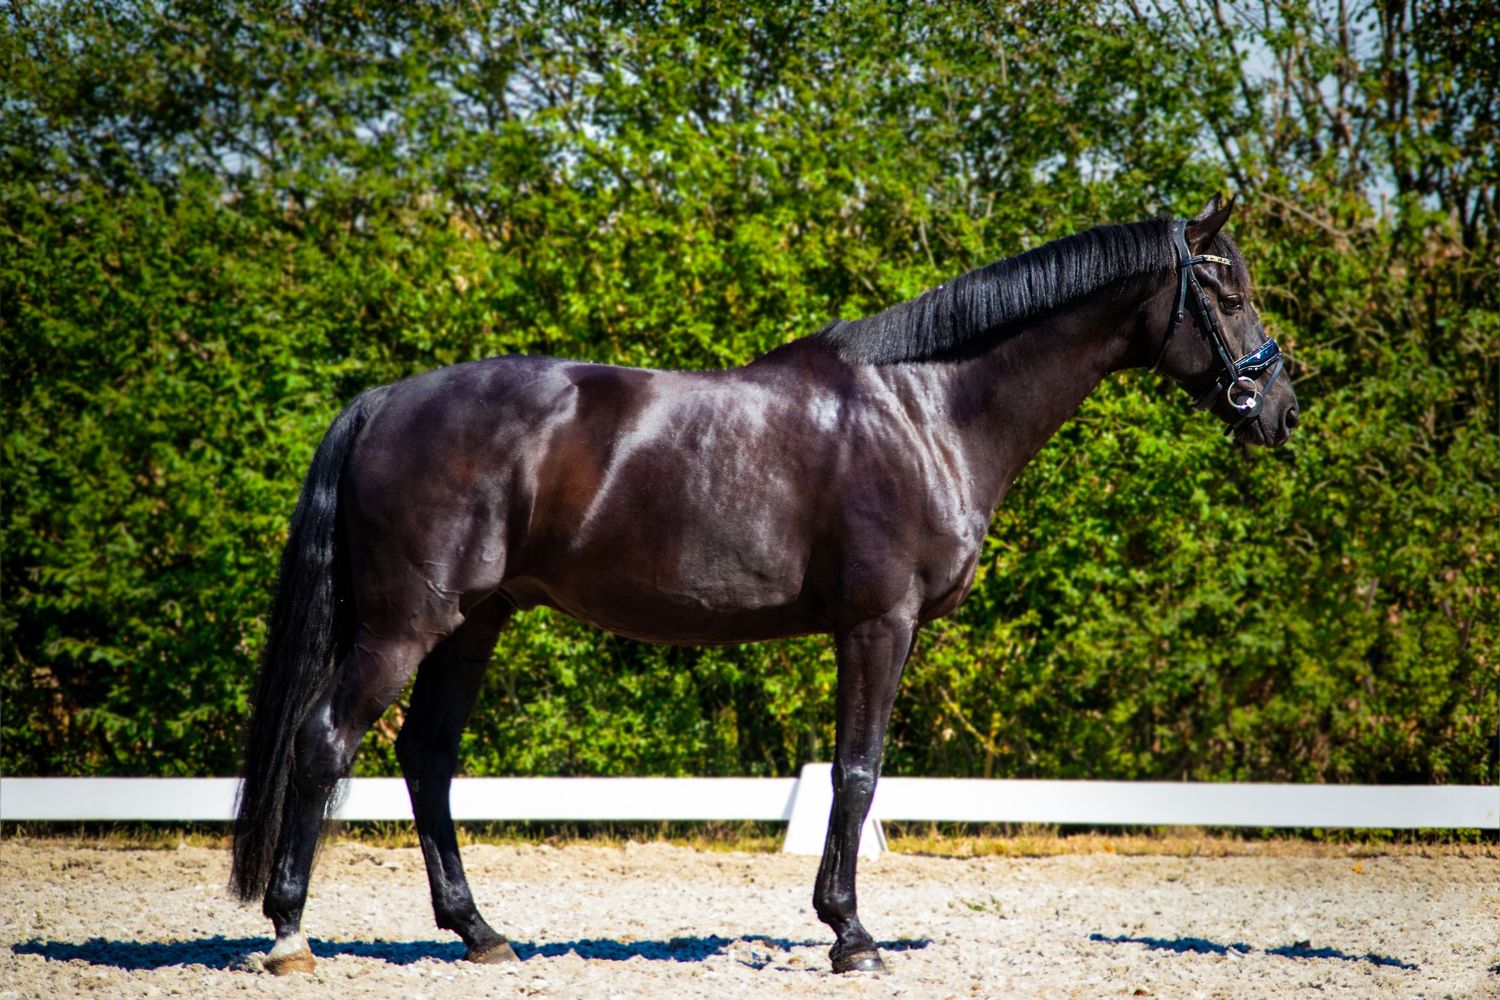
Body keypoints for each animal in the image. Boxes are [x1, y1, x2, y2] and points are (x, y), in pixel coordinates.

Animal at [230, 194, 1298, 975]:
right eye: (1227, 289)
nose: (1281, 406)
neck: (927, 407)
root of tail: (383, 401)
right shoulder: (878, 623)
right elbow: (859, 773)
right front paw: (852, 937)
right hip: (408, 622)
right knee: (326, 741)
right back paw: (290, 935)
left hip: (474, 621)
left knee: (426, 758)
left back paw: (481, 933)